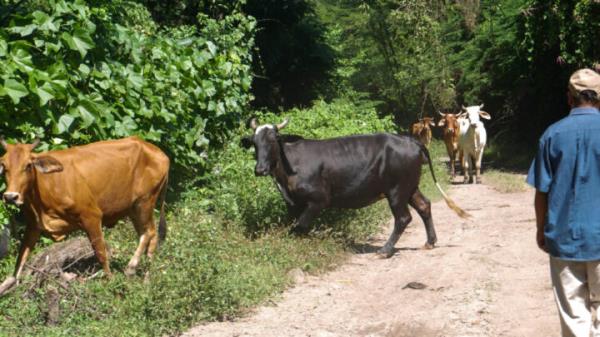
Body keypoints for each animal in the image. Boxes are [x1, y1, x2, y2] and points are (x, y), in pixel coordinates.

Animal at [0, 136, 169, 294]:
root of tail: (160, 153)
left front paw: (111, 282)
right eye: (4, 166)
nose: (11, 197)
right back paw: (147, 278)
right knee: (150, 236)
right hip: (134, 208)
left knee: (149, 232)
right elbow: (20, 260)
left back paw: (131, 268)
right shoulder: (33, 225)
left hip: (145, 201)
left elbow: (100, 252)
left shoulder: (91, 216)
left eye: (28, 165)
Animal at [241, 118, 472, 258]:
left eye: (273, 140)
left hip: (396, 190)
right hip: (409, 187)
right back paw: (430, 242)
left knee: (403, 218)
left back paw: (385, 249)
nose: (260, 169)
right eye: (254, 142)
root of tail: (410, 141)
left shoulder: (319, 199)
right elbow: (297, 225)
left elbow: (300, 225)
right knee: (424, 206)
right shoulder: (293, 203)